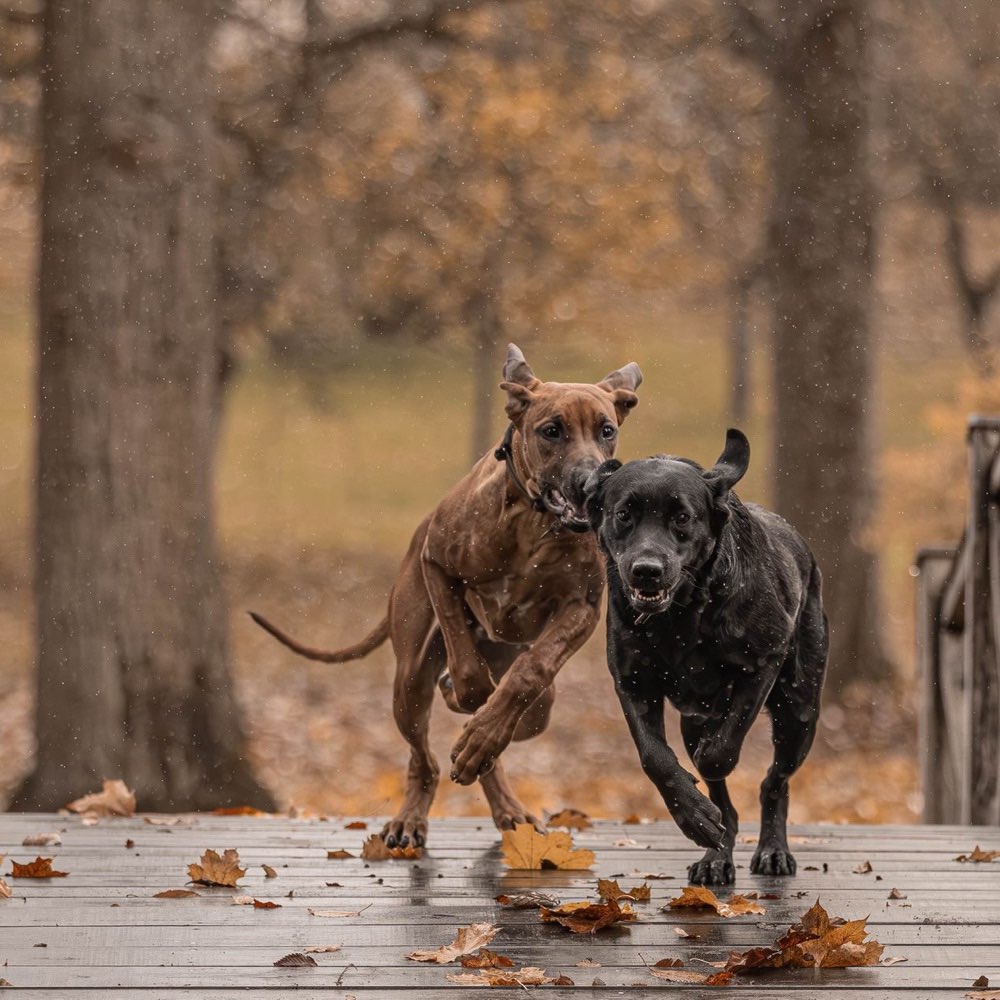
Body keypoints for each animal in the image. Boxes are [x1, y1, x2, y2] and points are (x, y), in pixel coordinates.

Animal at [250, 344, 640, 844]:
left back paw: (502, 793)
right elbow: (466, 663)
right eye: (551, 430)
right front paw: (466, 694)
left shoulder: (582, 607)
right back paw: (412, 814)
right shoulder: (437, 564)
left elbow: (531, 673)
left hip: (522, 687)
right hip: (409, 679)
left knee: (524, 716)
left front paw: (484, 728)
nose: (592, 482)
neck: (533, 522)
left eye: (606, 430)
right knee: (424, 756)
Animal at [584, 430, 828, 884]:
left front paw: (708, 770)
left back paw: (773, 850)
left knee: (774, 782)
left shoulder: (763, 663)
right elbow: (656, 757)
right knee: (727, 804)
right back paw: (716, 854)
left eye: (682, 517)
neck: (681, 617)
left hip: (799, 712)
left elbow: (720, 752)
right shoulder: (632, 681)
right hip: (696, 720)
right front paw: (695, 816)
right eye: (624, 513)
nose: (647, 569)